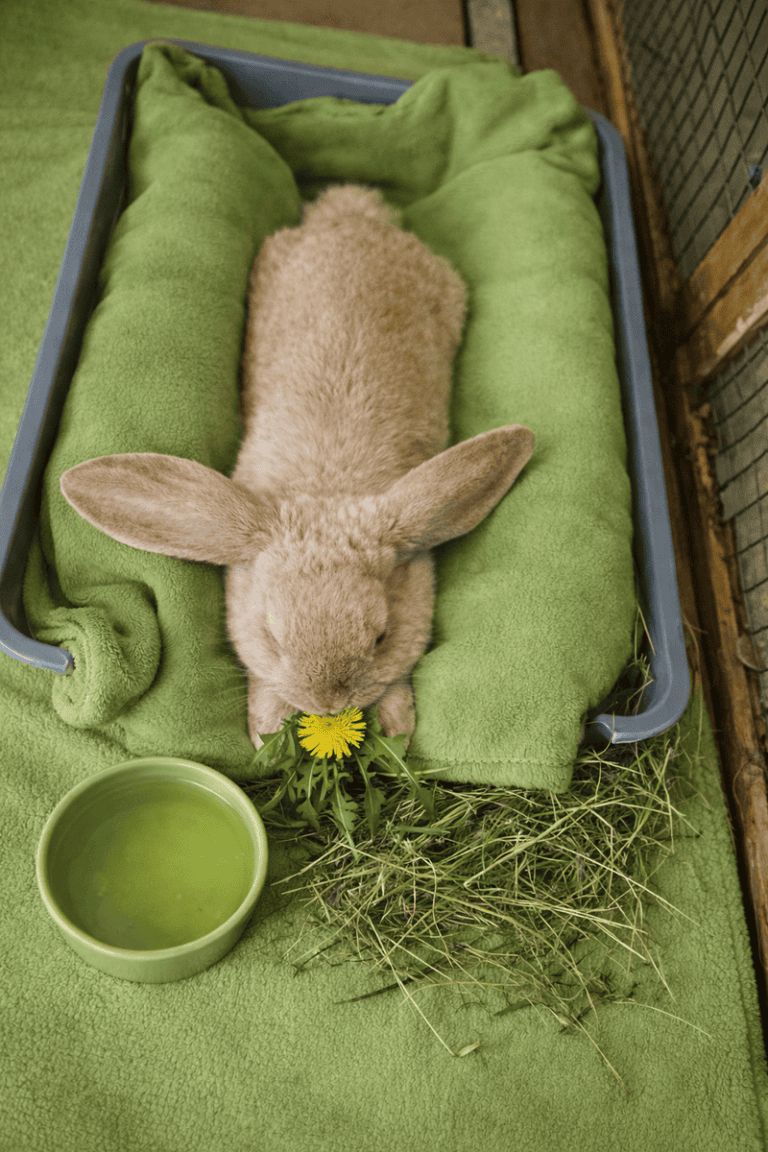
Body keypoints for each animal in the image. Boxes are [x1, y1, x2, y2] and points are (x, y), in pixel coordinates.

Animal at [60, 183, 535, 750]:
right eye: (272, 634)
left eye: (381, 635)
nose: (327, 702)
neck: (327, 490)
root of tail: (351, 216)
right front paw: (267, 732)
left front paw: (396, 731)